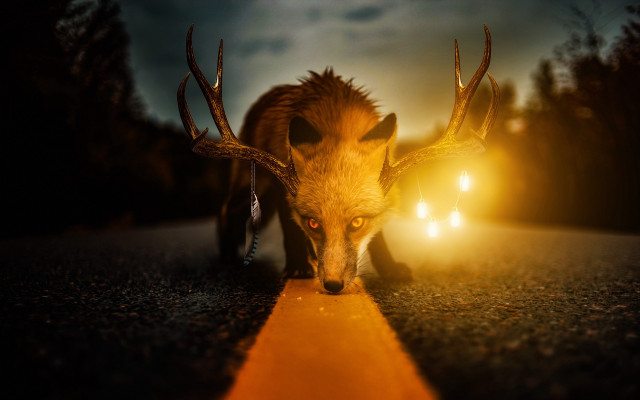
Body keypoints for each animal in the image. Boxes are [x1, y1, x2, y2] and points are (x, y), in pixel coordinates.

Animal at [177, 24, 499, 294]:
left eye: (357, 223)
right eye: (313, 223)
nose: (332, 285)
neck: (335, 120)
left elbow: (379, 233)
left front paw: (389, 267)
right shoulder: (284, 180)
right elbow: (290, 228)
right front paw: (297, 267)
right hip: (250, 185)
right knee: (226, 210)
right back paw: (229, 256)